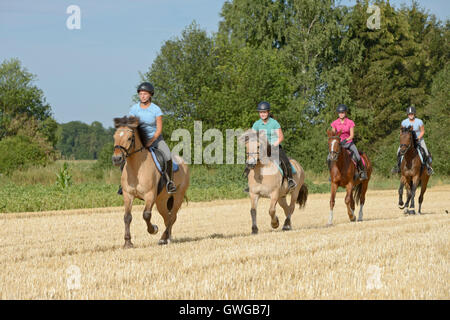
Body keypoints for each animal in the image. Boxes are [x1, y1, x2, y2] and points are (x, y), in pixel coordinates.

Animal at [113, 116, 191, 246]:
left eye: (129, 138)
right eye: (114, 137)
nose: (116, 159)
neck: (137, 168)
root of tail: (183, 162)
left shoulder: (150, 195)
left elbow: (146, 215)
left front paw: (153, 229)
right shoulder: (128, 195)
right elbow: (127, 217)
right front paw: (128, 242)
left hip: (178, 196)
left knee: (172, 216)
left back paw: (163, 238)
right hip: (161, 200)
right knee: (167, 217)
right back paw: (166, 238)